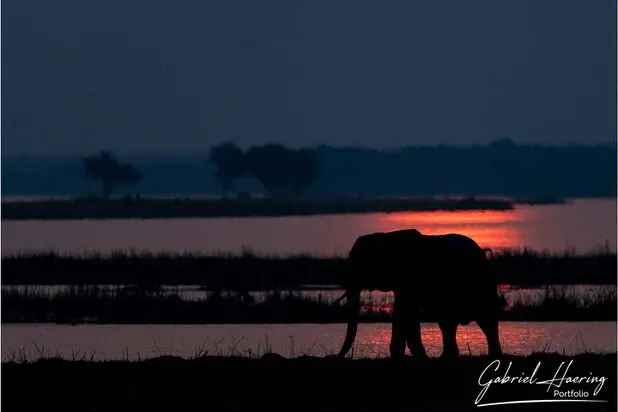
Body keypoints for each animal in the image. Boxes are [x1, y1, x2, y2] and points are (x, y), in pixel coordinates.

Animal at [332, 230, 500, 358]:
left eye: (360, 265)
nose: (336, 357)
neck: (386, 237)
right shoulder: (401, 284)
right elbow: (399, 314)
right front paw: (401, 357)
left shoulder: (409, 277)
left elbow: (407, 313)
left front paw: (418, 357)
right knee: (450, 323)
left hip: (482, 285)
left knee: (485, 320)